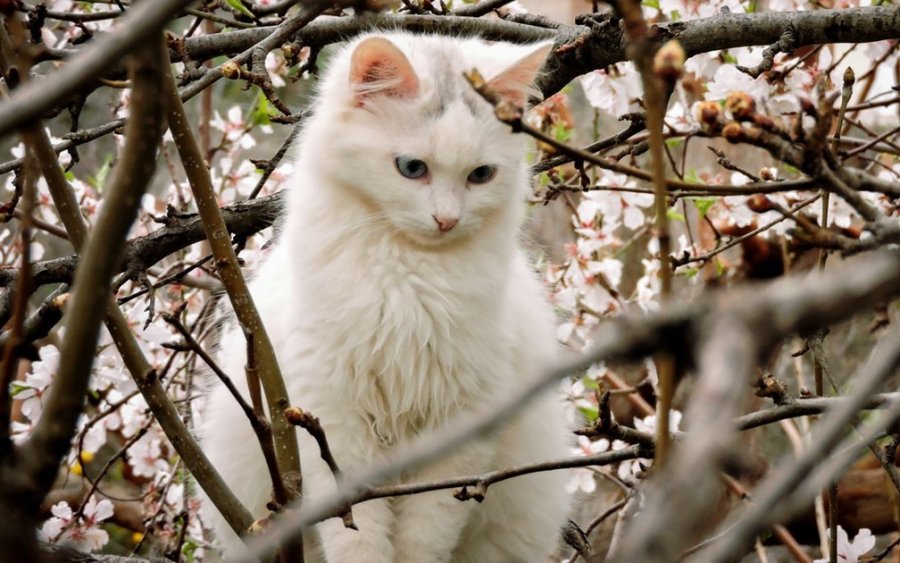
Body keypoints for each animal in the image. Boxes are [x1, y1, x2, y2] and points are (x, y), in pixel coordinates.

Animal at [201, 32, 572, 563]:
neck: (408, 278)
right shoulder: (334, 415)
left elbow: (425, 536)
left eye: (481, 175)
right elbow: (356, 534)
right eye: (411, 168)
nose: (447, 220)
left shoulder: (461, 423)